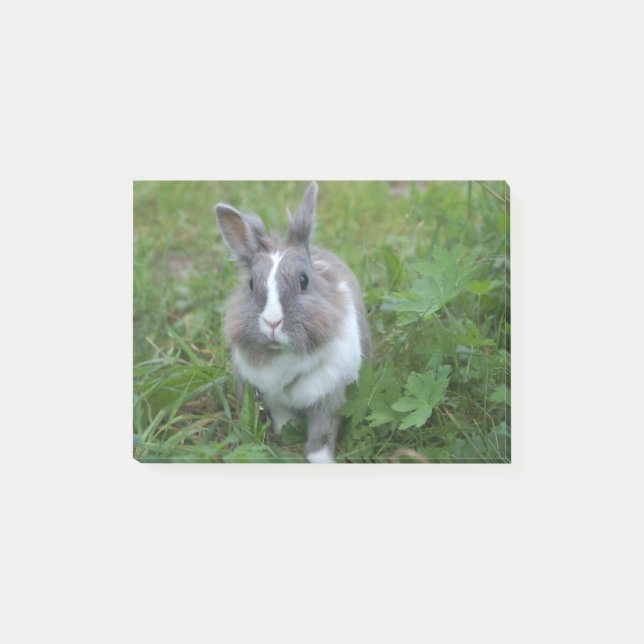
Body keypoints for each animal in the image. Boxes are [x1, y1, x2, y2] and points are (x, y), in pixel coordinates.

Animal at [215, 181, 371, 463]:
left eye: (303, 280)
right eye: (251, 284)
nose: (273, 322)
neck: (285, 356)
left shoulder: (330, 398)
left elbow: (322, 435)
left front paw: (321, 461)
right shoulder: (274, 399)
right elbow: (283, 419)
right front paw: (284, 432)